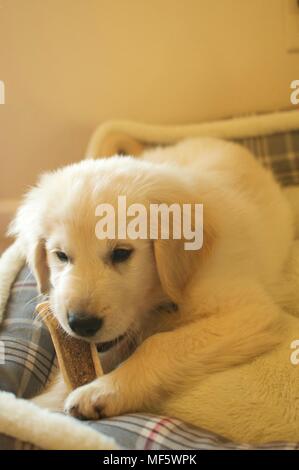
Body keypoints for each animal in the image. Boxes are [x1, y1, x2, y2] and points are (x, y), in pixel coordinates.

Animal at [9, 138, 299, 442]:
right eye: (61, 256)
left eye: (121, 253)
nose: (81, 324)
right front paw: (41, 405)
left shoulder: (250, 312)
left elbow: (158, 345)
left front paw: (102, 391)